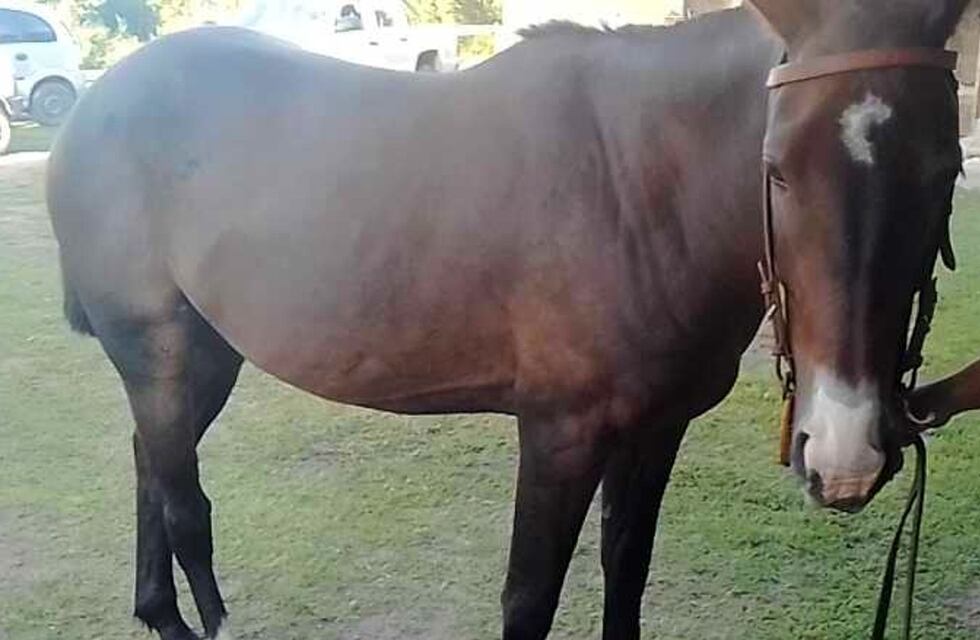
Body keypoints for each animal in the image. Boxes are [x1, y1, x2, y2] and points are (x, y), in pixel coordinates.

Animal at [46, 0, 969, 638]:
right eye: (775, 169)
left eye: (946, 167)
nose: (846, 456)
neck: (638, 185)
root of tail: (96, 103)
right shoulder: (560, 433)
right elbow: (530, 598)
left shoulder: (655, 430)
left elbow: (625, 572)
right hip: (158, 350)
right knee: (184, 502)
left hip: (206, 355)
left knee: (152, 465)